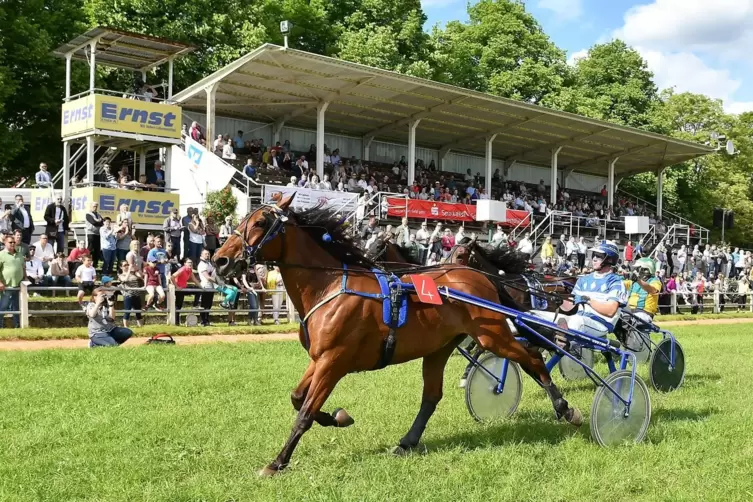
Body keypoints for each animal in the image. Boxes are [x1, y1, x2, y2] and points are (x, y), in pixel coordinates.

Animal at [212, 195, 580, 474]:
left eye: (261, 223)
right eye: (243, 220)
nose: (220, 260)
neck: (330, 286)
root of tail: (479, 276)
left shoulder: (334, 361)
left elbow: (303, 414)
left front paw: (277, 462)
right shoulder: (319, 359)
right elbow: (298, 398)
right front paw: (338, 417)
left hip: (492, 336)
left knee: (532, 357)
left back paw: (565, 409)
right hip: (439, 348)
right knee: (432, 396)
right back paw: (407, 441)